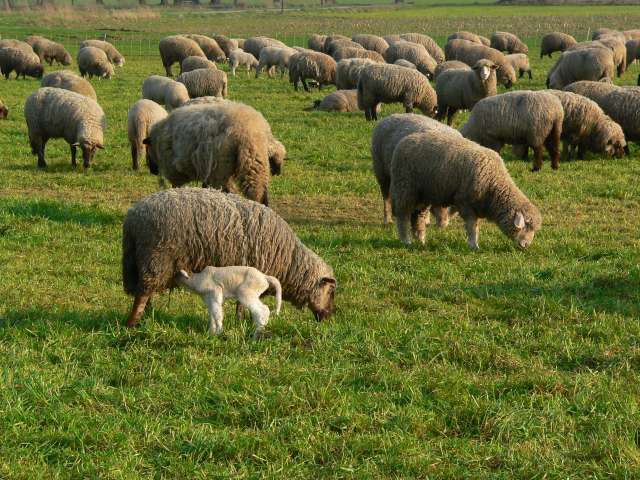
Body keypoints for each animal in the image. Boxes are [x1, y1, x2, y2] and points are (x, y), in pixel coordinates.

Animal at [122, 188, 336, 328]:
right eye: (331, 292)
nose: (330, 317)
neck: (289, 261)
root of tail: (134, 217)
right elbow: (242, 303)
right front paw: (243, 321)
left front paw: (241, 320)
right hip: (157, 256)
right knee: (143, 292)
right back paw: (132, 323)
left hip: (137, 259)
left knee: (144, 290)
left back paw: (147, 315)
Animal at [143, 102, 282, 205]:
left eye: (147, 150)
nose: (152, 171)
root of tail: (248, 132)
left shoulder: (174, 170)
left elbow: (176, 185)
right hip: (256, 163)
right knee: (259, 192)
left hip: (221, 168)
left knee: (229, 191)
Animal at [390, 131, 541, 250]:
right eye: (526, 226)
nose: (526, 245)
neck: (494, 183)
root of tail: (404, 140)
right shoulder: (466, 203)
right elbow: (472, 227)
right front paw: (474, 245)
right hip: (405, 188)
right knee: (403, 216)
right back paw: (406, 240)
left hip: (422, 195)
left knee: (418, 217)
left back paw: (421, 240)